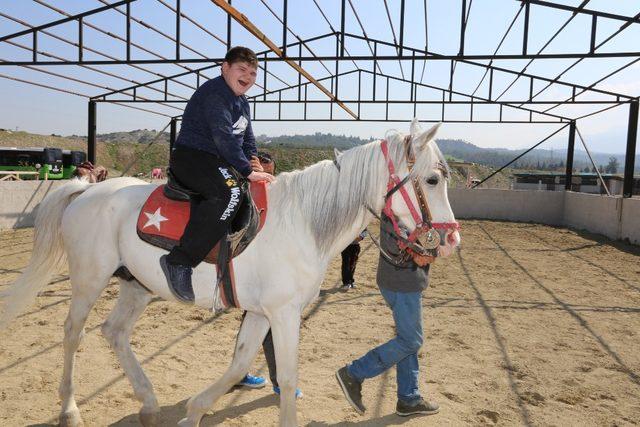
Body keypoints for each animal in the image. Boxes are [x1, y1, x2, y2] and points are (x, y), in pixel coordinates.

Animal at [0, 118, 460, 426]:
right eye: (432, 180)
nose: (451, 238)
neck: (302, 221)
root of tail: (87, 190)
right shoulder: (284, 314)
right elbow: (287, 375)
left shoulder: (259, 312)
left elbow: (239, 364)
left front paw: (194, 412)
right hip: (89, 280)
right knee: (72, 334)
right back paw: (69, 408)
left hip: (138, 286)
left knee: (113, 333)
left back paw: (148, 403)